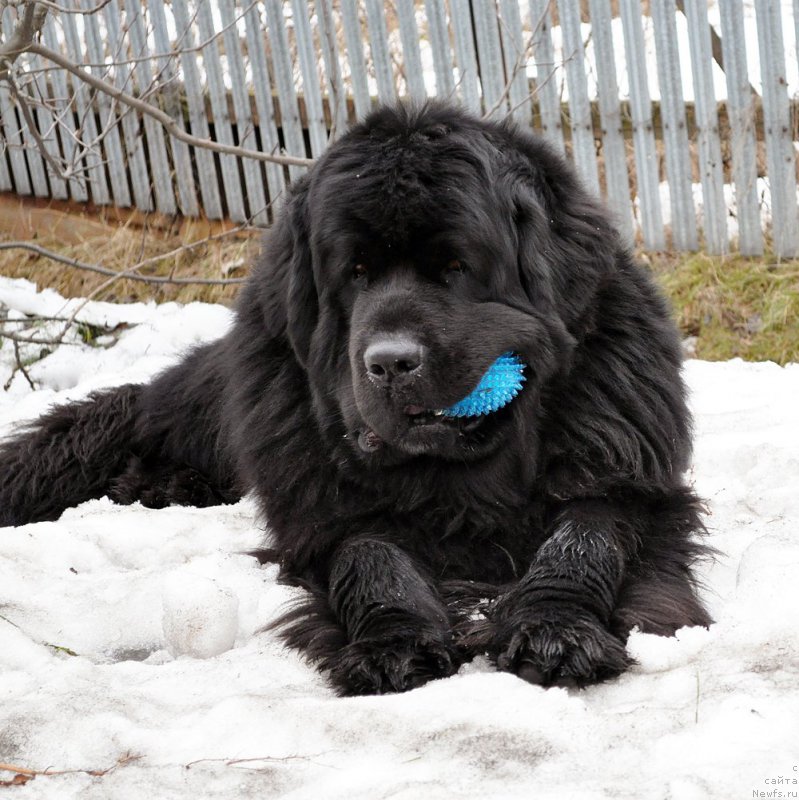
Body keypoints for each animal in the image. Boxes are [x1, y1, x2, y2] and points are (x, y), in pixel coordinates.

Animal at [0, 103, 712, 692]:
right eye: (357, 273)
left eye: (456, 268)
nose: (390, 362)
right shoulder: (329, 507)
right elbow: (370, 556)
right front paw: (394, 643)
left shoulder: (625, 479)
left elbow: (583, 537)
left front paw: (554, 630)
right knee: (145, 415)